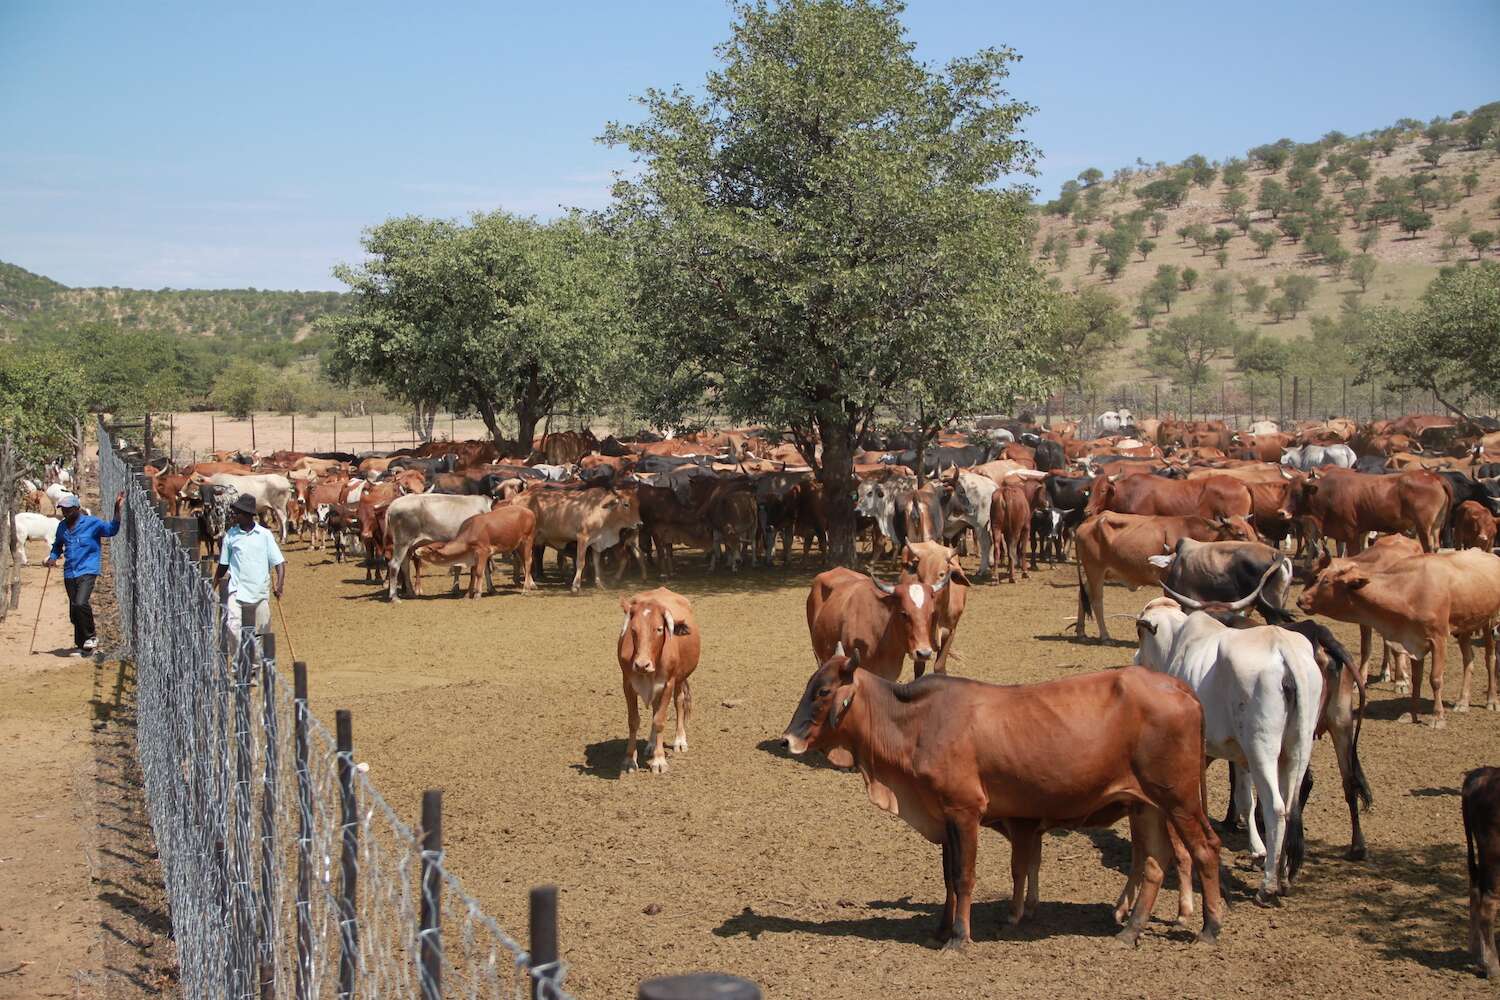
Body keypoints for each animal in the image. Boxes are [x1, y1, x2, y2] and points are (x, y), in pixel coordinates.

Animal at [615, 590, 702, 779]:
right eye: (633, 630)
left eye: (659, 629)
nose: (642, 664)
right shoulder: (628, 684)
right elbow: (633, 721)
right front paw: (629, 760)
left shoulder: (668, 684)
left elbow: (660, 720)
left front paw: (659, 760)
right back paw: (651, 744)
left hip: (679, 679)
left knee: (679, 702)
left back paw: (679, 741)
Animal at [780, 653, 1224, 953]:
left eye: (822, 691)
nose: (787, 740)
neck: (917, 724)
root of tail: (1178, 685)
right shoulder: (944, 815)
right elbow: (948, 877)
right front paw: (941, 929)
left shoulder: (965, 810)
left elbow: (964, 877)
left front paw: (959, 938)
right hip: (1146, 804)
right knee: (1154, 863)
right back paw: (1129, 931)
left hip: (1179, 799)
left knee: (1204, 848)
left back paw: (1209, 928)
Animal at [1080, 515, 1254, 641]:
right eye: (1241, 533)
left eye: (1251, 529)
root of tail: (1089, 521)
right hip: (1095, 570)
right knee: (1096, 600)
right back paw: (1105, 635)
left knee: (1085, 594)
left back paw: (1080, 632)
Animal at [1134, 599, 1326, 911]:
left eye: (1140, 633)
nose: (1136, 658)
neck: (1178, 643)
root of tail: (1283, 648)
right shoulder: (1240, 757)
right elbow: (1245, 801)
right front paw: (1257, 851)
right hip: (1296, 748)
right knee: (1291, 805)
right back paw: (1284, 877)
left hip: (1263, 748)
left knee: (1276, 809)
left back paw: (1267, 887)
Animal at [1296, 548, 1500, 728]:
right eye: (1317, 576)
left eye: (1326, 581)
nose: (1300, 599)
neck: (1409, 590)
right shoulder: (1414, 639)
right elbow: (1417, 679)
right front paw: (1412, 715)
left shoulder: (1439, 638)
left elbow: (1435, 679)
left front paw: (1437, 717)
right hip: (1466, 627)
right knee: (1468, 660)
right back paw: (1462, 701)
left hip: (1491, 623)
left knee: (1490, 659)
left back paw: (1492, 700)